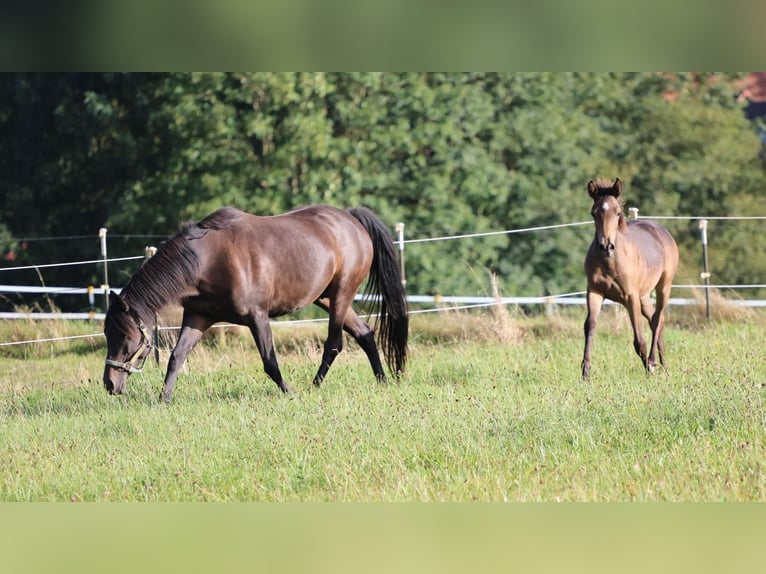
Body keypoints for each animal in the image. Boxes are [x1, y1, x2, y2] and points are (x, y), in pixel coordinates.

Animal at [106, 205, 414, 402]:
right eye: (108, 334)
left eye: (128, 340)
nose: (109, 383)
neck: (207, 260)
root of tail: (351, 219)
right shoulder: (198, 317)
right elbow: (176, 357)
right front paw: (164, 398)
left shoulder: (257, 316)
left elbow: (270, 362)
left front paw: (291, 393)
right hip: (327, 297)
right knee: (364, 334)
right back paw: (382, 380)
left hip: (341, 294)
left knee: (335, 343)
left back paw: (314, 386)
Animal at [584, 178, 680, 380]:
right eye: (594, 213)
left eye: (617, 212)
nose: (606, 246)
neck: (610, 263)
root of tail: (661, 230)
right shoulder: (594, 292)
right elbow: (590, 326)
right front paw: (585, 372)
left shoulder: (630, 297)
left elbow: (639, 340)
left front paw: (649, 369)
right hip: (643, 296)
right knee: (654, 319)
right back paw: (665, 365)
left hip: (663, 287)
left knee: (658, 320)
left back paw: (654, 362)